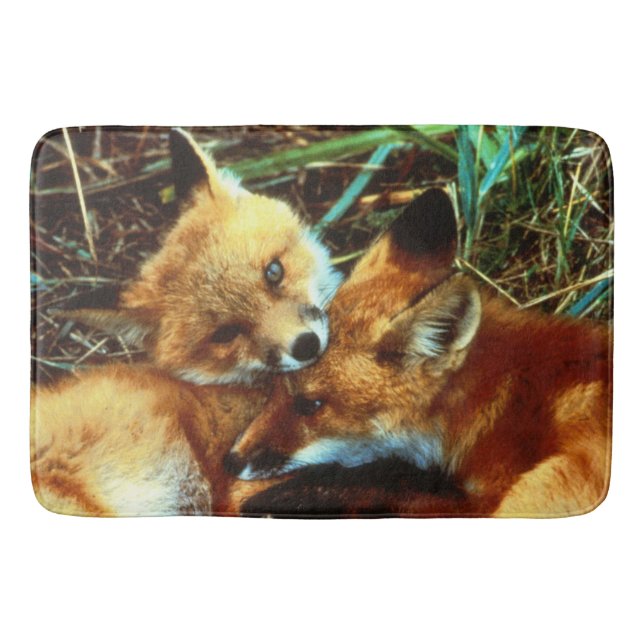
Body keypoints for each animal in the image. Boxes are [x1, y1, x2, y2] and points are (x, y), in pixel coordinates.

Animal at [227, 189, 612, 518]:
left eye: (310, 405)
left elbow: (387, 484)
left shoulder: (481, 501)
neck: (504, 394)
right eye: (277, 386)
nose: (232, 460)